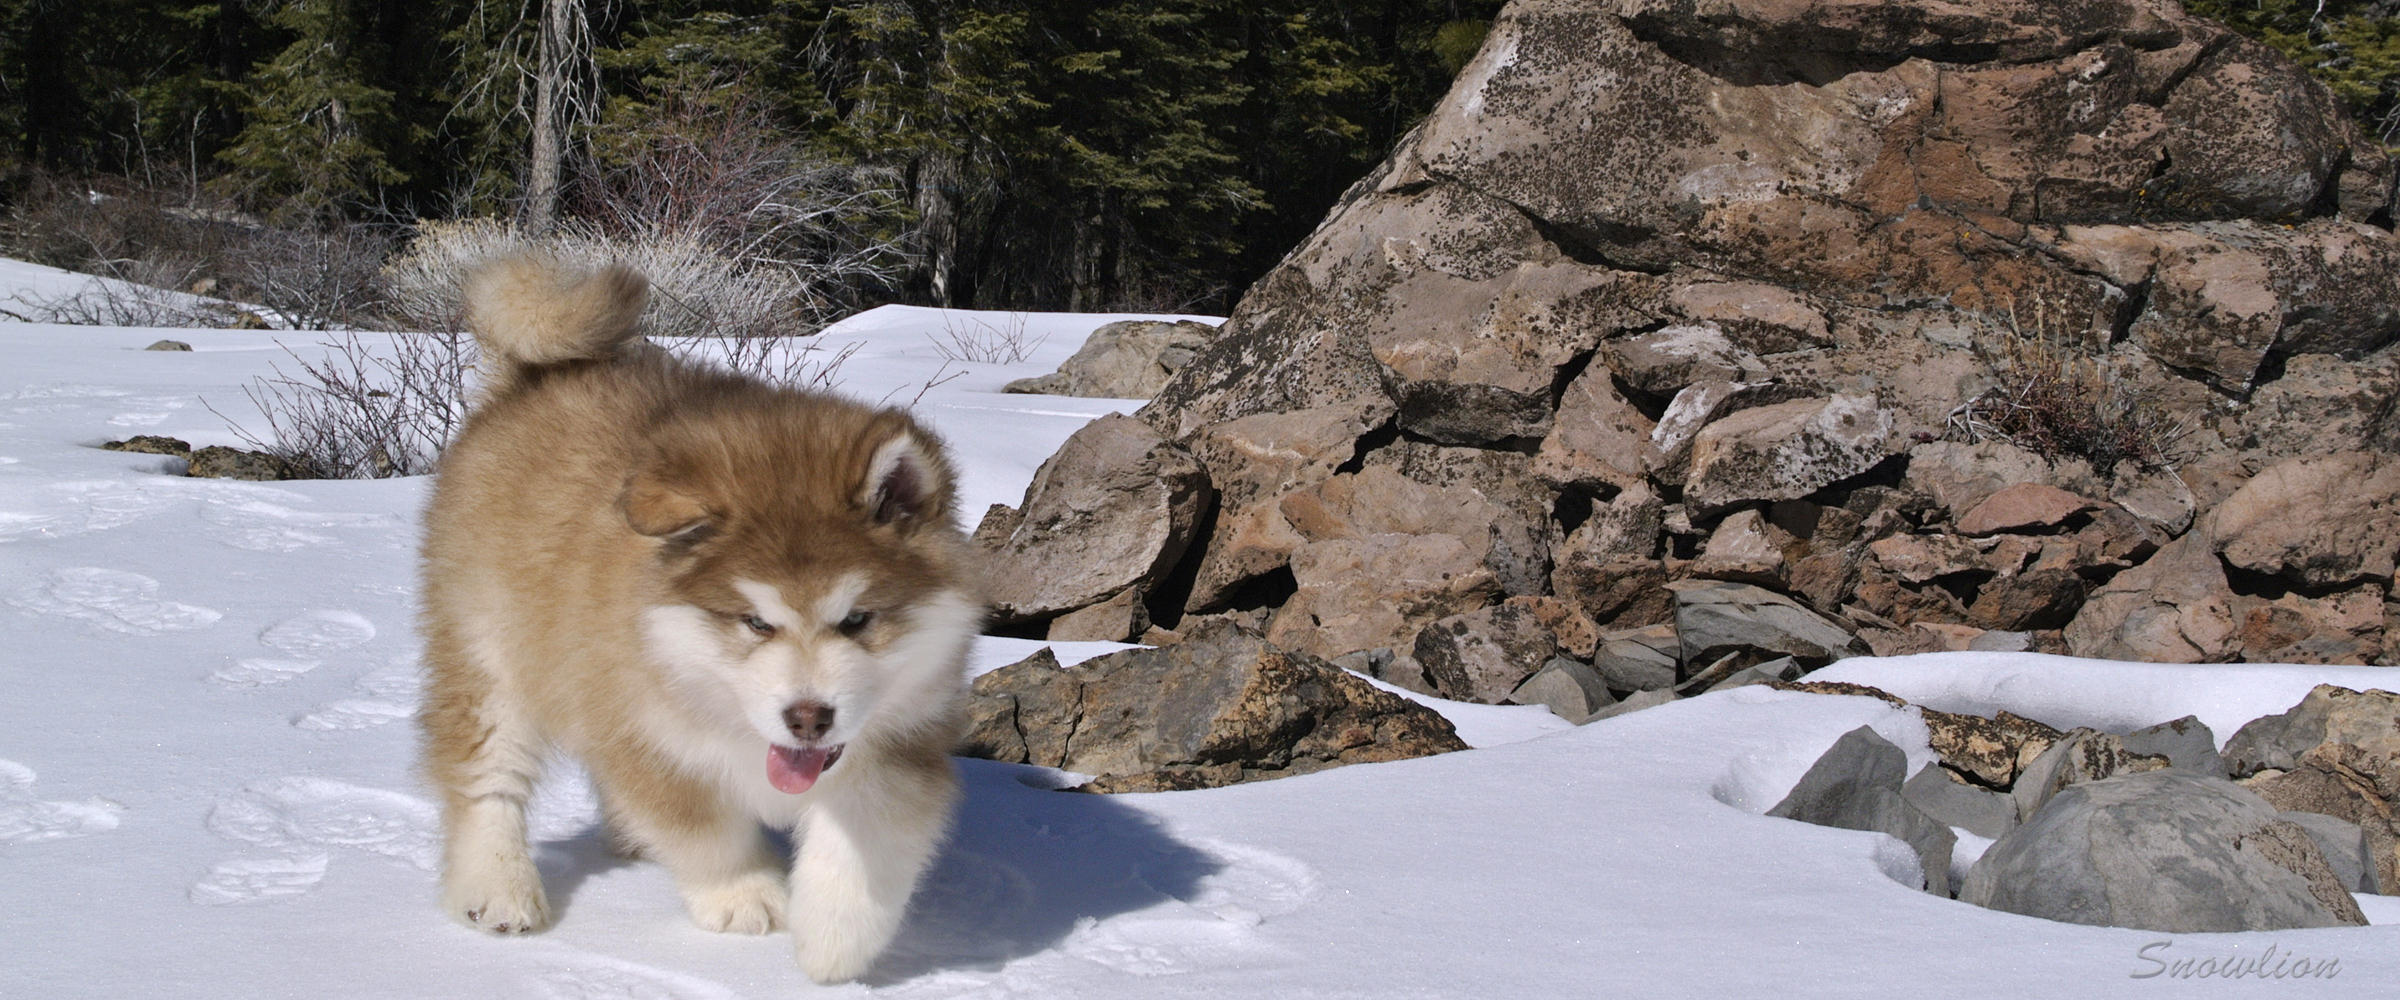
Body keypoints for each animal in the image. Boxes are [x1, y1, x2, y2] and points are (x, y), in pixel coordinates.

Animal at [417, 252, 979, 978]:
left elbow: (866, 842)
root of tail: (532, 375)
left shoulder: (900, 745)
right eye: (755, 622)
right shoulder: (649, 738)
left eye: (857, 619)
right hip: (492, 655)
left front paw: (832, 939)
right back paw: (497, 887)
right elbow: (703, 830)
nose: (809, 718)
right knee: (487, 775)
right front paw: (746, 896)